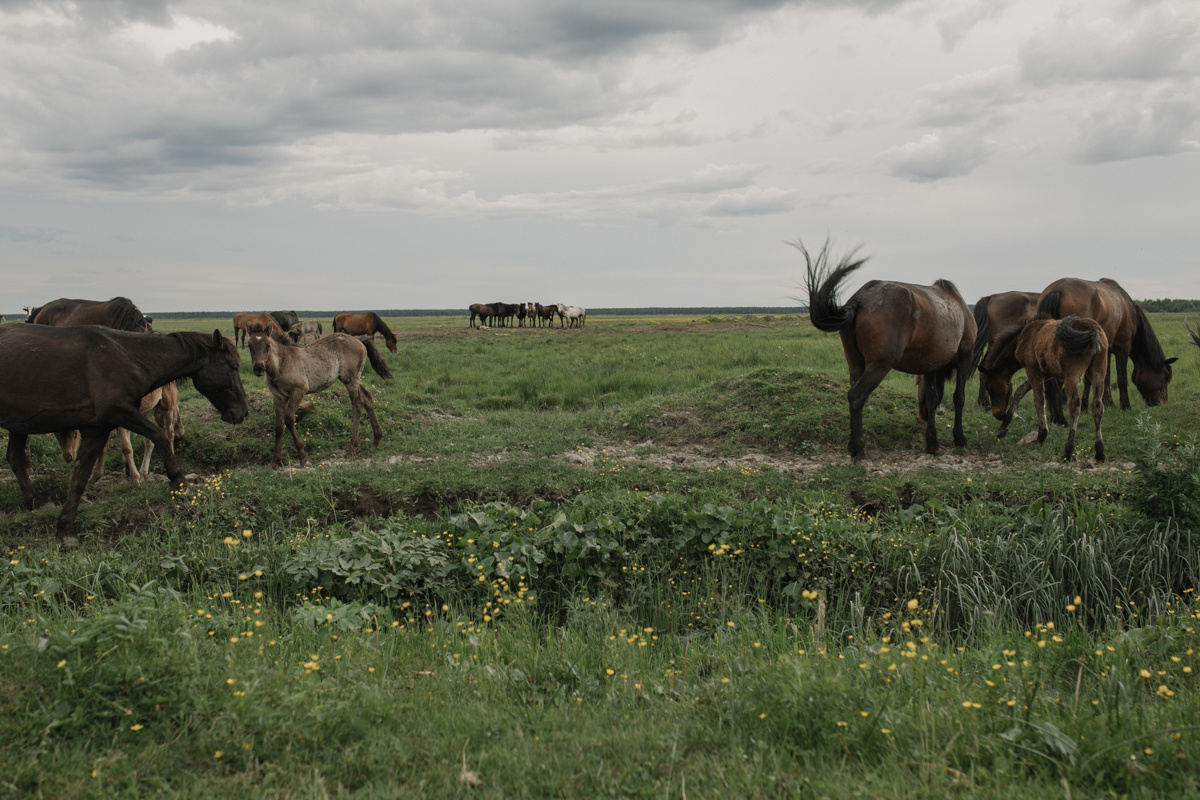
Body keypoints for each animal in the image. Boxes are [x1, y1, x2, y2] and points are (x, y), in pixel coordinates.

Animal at [0, 326, 247, 546]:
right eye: (233, 366)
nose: (243, 412)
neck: (129, 359)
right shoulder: (120, 413)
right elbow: (160, 437)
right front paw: (179, 482)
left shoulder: (97, 429)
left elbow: (80, 478)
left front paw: (66, 528)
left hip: (19, 424)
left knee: (15, 458)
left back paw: (35, 500)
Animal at [247, 331, 391, 468]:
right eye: (249, 345)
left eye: (267, 345)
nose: (258, 368)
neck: (282, 362)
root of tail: (358, 339)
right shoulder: (279, 397)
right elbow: (278, 426)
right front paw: (275, 461)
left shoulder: (298, 390)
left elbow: (288, 419)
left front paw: (302, 455)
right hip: (352, 380)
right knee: (367, 398)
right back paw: (376, 440)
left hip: (350, 380)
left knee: (358, 405)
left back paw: (352, 449)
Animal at [798, 238, 976, 461]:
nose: (921, 418)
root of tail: (859, 299)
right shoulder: (964, 358)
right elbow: (959, 398)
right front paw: (959, 439)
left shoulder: (931, 365)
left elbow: (932, 398)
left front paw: (932, 444)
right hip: (880, 365)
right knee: (856, 397)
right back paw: (857, 449)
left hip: (856, 364)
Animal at [978, 316, 1109, 462]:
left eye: (989, 387)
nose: (998, 414)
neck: (1023, 338)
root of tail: (1094, 332)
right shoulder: (1045, 373)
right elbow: (1020, 391)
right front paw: (1003, 427)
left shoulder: (1032, 370)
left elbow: (1039, 400)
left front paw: (1041, 435)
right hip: (1098, 371)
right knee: (1097, 405)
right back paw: (1099, 452)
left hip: (1072, 373)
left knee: (1075, 405)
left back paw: (1068, 451)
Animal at [1036, 278, 1175, 410]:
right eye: (1166, 375)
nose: (1163, 403)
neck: (1130, 312)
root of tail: (1057, 289)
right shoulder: (1122, 348)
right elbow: (1121, 378)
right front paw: (1125, 405)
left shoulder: (1106, 350)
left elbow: (1105, 377)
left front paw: (1108, 402)